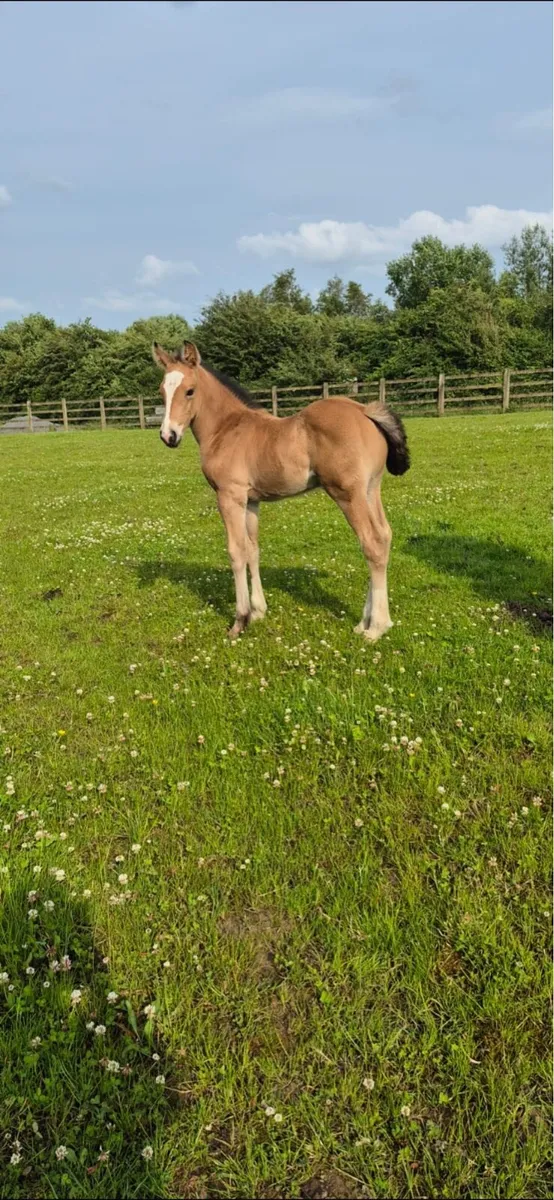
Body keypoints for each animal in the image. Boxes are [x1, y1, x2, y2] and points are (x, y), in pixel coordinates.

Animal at [153, 341, 410, 640]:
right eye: (162, 391)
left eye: (190, 391)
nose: (168, 436)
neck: (226, 428)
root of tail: (364, 411)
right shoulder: (251, 501)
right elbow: (253, 550)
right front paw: (258, 611)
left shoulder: (229, 497)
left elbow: (236, 552)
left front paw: (240, 620)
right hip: (371, 489)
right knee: (385, 535)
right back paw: (365, 622)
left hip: (348, 494)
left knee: (372, 543)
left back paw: (376, 627)